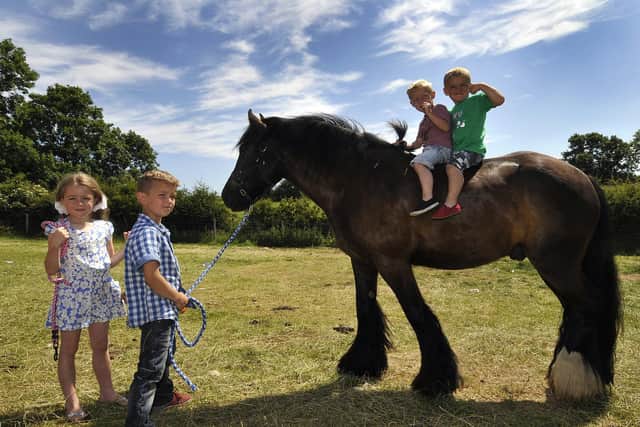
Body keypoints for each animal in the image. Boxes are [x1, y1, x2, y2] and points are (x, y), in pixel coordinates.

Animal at [221, 110, 622, 400]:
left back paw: (576, 379)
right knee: (578, 310)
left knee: (586, 307)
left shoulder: (393, 262)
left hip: (557, 264)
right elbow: (364, 308)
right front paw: (362, 364)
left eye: (256, 151)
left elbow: (418, 314)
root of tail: (581, 176)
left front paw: (436, 380)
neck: (359, 179)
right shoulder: (362, 260)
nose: (229, 197)